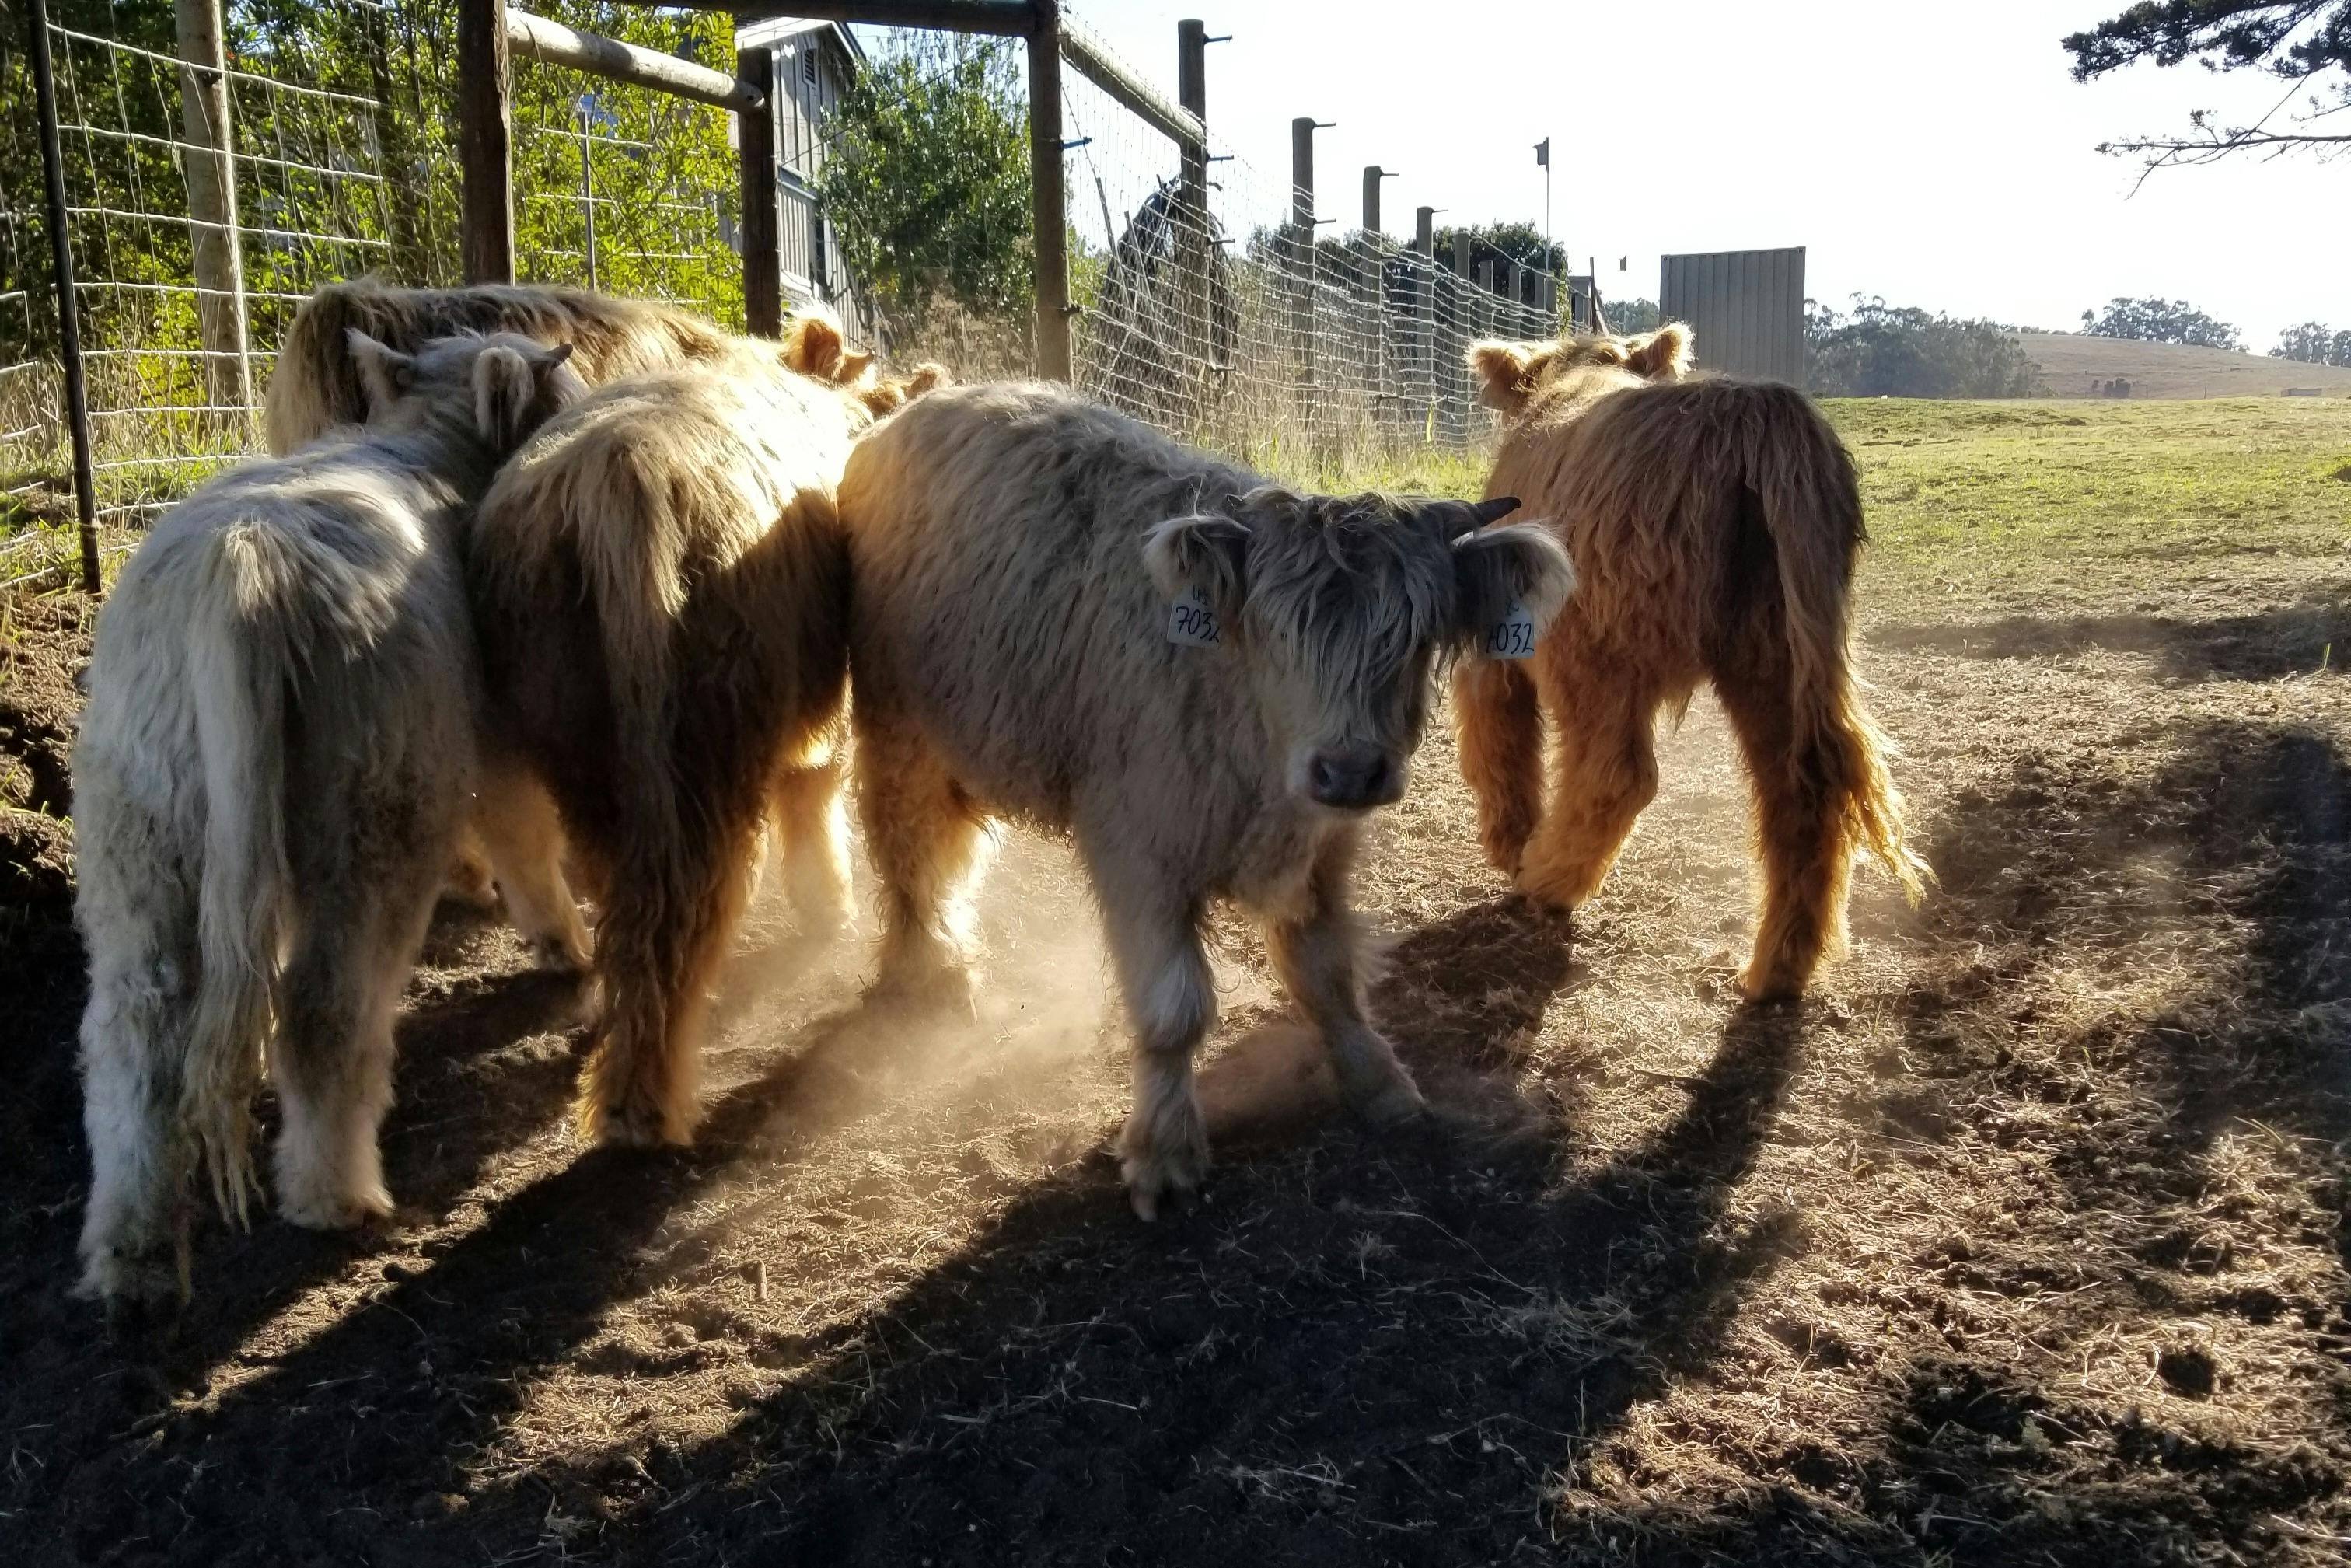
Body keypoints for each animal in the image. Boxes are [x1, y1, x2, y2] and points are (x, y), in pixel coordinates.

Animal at [75, 330, 583, 1305]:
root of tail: (241, 561)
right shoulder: (494, 729)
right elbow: (524, 835)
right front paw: (563, 943)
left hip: (141, 833)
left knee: (135, 1037)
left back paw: (130, 1250)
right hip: (370, 816)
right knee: (324, 1007)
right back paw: (334, 1196)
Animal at [836, 382, 1575, 1218]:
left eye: (1415, 634)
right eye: (1275, 630)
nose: (1350, 770)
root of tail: (922, 403)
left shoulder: (1322, 850)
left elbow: (1328, 974)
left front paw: (1378, 1082)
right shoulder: (1137, 848)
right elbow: (1173, 1009)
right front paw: (1164, 1150)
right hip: (896, 723)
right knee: (907, 852)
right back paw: (927, 973)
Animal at [1455, 323, 1927, 1000]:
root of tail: (1750, 409)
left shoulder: (1497, 647)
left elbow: (1497, 745)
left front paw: (1509, 842)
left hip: (1595, 654)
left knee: (1616, 777)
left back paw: (1543, 877)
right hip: (1779, 652)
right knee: (1803, 792)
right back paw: (1777, 968)